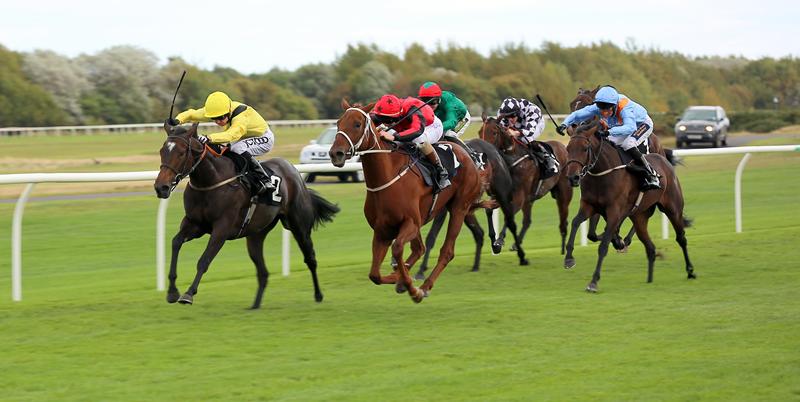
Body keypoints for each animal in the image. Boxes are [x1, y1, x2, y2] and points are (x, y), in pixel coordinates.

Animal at [152, 122, 338, 308]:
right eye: (162, 151)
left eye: (181, 153)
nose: (161, 187)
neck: (210, 181)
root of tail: (293, 171)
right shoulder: (195, 224)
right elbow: (176, 242)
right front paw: (172, 291)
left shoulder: (221, 229)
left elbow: (204, 260)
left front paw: (188, 293)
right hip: (256, 234)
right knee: (263, 272)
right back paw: (255, 305)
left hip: (299, 226)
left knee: (310, 258)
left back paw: (318, 295)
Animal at [328, 99, 484, 302]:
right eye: (338, 123)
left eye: (357, 124)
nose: (335, 153)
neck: (386, 177)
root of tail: (468, 154)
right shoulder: (382, 230)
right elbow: (375, 274)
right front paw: (400, 279)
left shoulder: (410, 223)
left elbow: (397, 249)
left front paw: (411, 286)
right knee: (419, 248)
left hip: (459, 208)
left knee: (446, 251)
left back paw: (424, 287)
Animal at [416, 137, 528, 278]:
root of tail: (493, 148)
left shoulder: (441, 208)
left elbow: (431, 236)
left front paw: (420, 270)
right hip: (466, 207)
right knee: (479, 232)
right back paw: (478, 263)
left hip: (501, 193)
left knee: (511, 223)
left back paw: (519, 255)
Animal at [476, 114, 576, 254]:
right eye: (480, 132)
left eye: (494, 132)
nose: (483, 152)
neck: (510, 160)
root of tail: (564, 148)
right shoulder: (500, 196)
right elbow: (488, 210)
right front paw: (493, 242)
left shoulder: (519, 197)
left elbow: (509, 215)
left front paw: (499, 241)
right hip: (530, 199)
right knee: (527, 221)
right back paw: (516, 244)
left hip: (564, 193)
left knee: (563, 219)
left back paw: (564, 248)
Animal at [560, 119, 696, 292]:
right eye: (568, 149)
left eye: (585, 148)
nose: (573, 177)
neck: (602, 173)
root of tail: (663, 159)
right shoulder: (589, 205)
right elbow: (576, 223)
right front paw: (569, 258)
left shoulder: (614, 211)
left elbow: (603, 246)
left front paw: (594, 282)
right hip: (639, 216)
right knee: (650, 247)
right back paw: (649, 277)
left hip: (673, 209)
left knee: (681, 238)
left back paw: (690, 271)